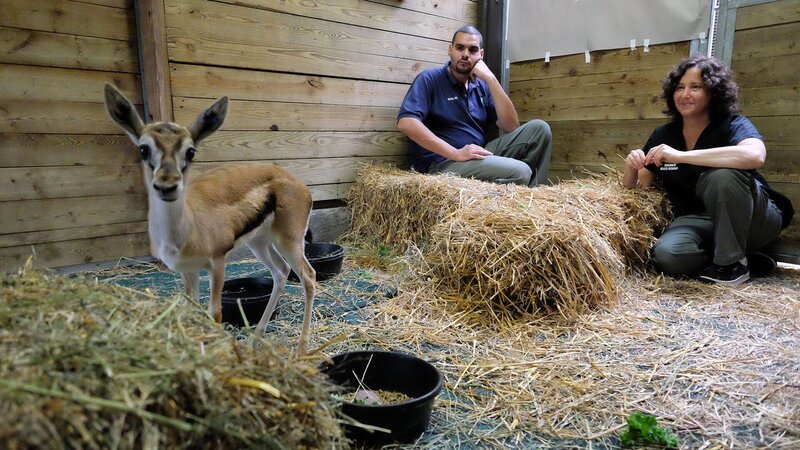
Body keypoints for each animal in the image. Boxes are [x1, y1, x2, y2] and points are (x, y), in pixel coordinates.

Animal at [103, 83, 316, 355]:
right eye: (143, 148)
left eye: (190, 151)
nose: (167, 186)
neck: (187, 229)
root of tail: (296, 182)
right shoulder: (188, 270)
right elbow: (192, 310)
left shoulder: (217, 262)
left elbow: (214, 313)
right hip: (259, 242)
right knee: (281, 272)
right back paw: (256, 338)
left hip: (289, 241)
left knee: (308, 277)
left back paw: (301, 348)